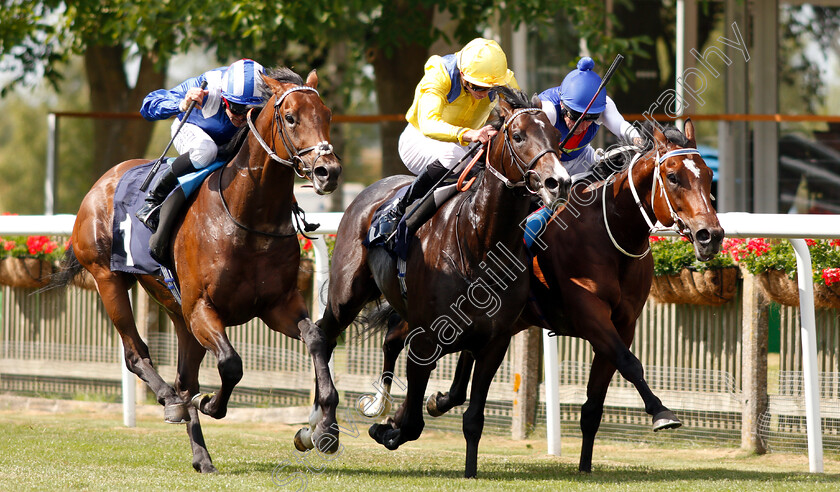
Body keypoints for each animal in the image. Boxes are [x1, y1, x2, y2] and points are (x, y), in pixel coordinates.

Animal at [49, 67, 342, 470]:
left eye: (327, 114)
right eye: (290, 117)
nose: (328, 171)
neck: (248, 216)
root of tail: (100, 184)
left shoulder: (277, 304)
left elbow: (316, 338)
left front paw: (324, 428)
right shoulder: (203, 306)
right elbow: (232, 364)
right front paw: (213, 404)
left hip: (180, 315)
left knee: (184, 378)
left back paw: (201, 456)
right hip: (110, 280)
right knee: (136, 354)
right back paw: (170, 401)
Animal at [318, 87, 576, 476]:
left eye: (558, 139)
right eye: (518, 136)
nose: (557, 182)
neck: (479, 242)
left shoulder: (493, 343)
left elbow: (473, 417)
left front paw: (468, 469)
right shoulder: (427, 340)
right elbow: (413, 421)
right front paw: (387, 429)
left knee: (390, 340)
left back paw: (376, 405)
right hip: (345, 296)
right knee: (322, 336)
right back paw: (322, 430)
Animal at [360, 118, 720, 472]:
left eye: (708, 175)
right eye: (673, 177)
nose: (711, 235)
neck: (609, 233)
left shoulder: (625, 322)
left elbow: (595, 404)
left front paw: (585, 465)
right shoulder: (589, 314)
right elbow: (629, 363)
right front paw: (662, 413)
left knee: (448, 360)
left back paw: (415, 412)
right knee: (396, 339)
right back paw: (387, 412)